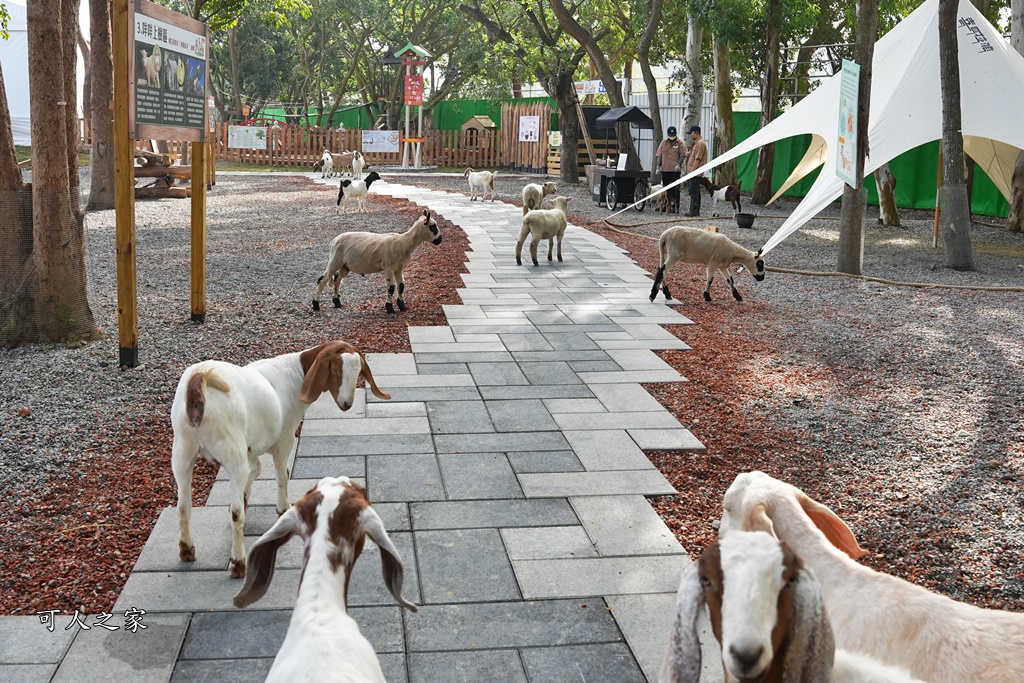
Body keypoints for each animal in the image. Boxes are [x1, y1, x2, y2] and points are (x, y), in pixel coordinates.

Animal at [167, 342, 391, 577]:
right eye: (335, 370)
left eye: (358, 372)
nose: (347, 404)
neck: (297, 372)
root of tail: (198, 381)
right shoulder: (284, 440)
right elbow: (282, 473)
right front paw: (283, 509)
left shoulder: (252, 446)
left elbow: (256, 469)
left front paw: (246, 498)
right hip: (230, 451)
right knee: (236, 512)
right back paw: (238, 562)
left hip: (183, 450)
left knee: (183, 505)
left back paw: (187, 549)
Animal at [311, 208, 440, 315]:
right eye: (432, 226)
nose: (440, 240)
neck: (403, 243)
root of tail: (333, 241)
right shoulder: (388, 267)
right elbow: (391, 287)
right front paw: (390, 309)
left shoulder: (399, 269)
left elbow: (401, 286)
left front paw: (402, 306)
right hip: (335, 260)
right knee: (323, 280)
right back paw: (316, 305)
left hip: (344, 266)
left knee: (337, 279)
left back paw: (337, 302)